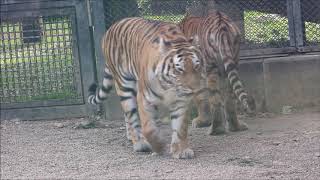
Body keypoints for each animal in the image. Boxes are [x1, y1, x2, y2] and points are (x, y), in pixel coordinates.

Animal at [86, 16, 222, 158]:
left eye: (197, 66)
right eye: (179, 69)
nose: (194, 89)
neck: (169, 86)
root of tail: (112, 27)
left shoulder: (181, 101)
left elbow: (180, 128)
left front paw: (181, 150)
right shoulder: (144, 99)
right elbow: (148, 128)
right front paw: (158, 146)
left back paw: (130, 136)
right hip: (124, 85)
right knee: (131, 114)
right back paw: (139, 144)